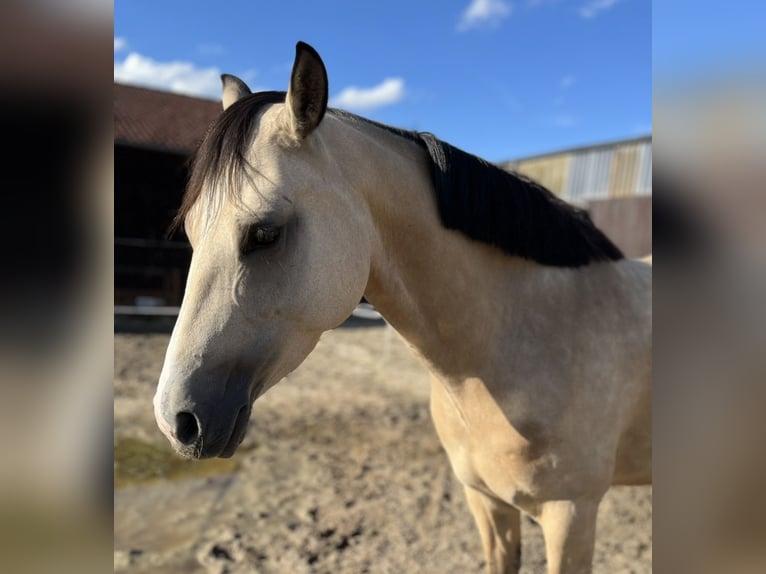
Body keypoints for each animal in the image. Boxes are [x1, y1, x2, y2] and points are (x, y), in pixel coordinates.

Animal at [154, 42, 656, 572]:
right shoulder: (487, 503)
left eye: (265, 233)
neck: (530, 339)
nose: (174, 421)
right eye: (191, 232)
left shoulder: (571, 515)